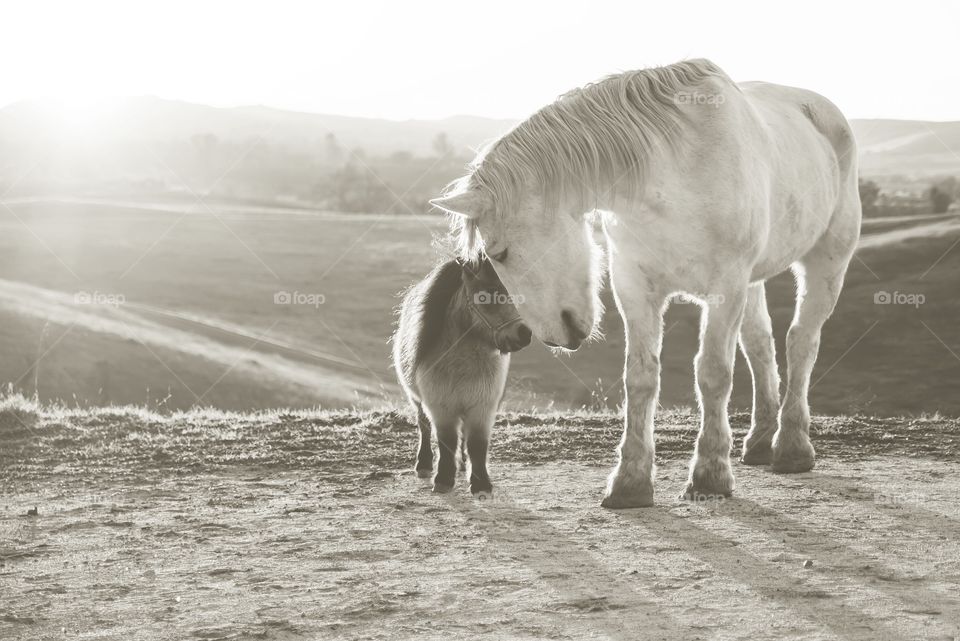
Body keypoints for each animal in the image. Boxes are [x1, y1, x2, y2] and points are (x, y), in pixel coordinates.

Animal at [432, 61, 860, 510]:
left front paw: (709, 475)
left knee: (801, 342)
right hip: (752, 282)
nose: (551, 338)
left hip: (826, 262)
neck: (676, 173)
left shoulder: (725, 287)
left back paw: (792, 447)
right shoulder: (635, 287)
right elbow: (639, 377)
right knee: (761, 345)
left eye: (499, 253)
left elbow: (713, 374)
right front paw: (630, 482)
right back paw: (760, 442)